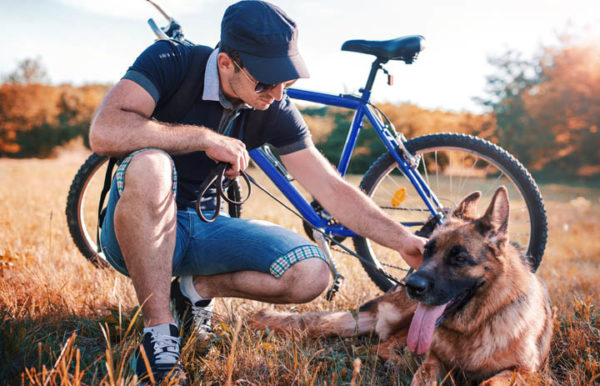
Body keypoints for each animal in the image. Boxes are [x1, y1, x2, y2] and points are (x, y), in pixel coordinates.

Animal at [247, 186, 552, 382]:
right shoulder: (433, 360)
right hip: (407, 316)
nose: (412, 285)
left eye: (459, 258)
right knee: (382, 347)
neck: (475, 326)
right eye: (427, 250)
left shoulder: (525, 372)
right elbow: (424, 374)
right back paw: (399, 360)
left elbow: (491, 381)